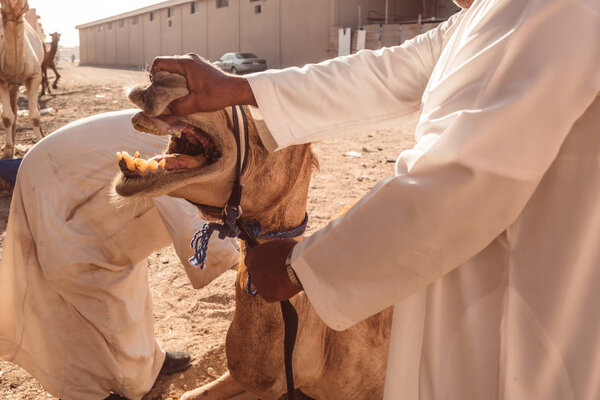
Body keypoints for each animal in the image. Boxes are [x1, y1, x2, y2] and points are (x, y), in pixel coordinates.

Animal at [0, 0, 44, 159]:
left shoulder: (35, 76)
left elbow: (35, 117)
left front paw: (40, 142)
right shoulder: (2, 79)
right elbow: (7, 117)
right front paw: (7, 151)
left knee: (34, 107)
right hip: (12, 84)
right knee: (14, 111)